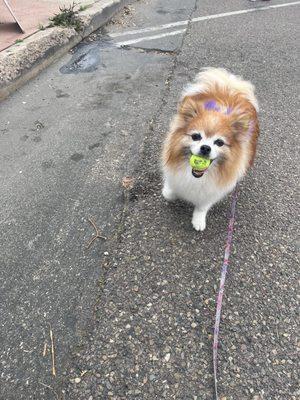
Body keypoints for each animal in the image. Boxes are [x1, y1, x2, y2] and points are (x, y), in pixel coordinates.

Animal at [163, 68, 258, 231]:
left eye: (219, 142)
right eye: (196, 136)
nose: (206, 148)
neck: (196, 176)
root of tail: (229, 88)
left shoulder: (212, 191)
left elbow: (202, 206)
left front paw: (198, 220)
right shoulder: (174, 174)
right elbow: (169, 192)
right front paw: (170, 192)